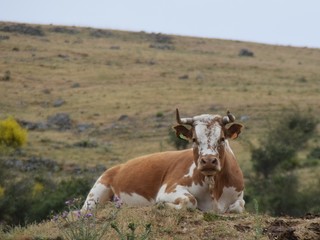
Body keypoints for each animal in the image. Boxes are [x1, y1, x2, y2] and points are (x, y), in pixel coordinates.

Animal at [82, 109, 245, 213]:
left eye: (222, 138)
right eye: (194, 139)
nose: (209, 161)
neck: (213, 189)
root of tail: (117, 168)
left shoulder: (238, 196)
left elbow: (239, 206)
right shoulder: (168, 189)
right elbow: (190, 200)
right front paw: (161, 206)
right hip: (94, 197)